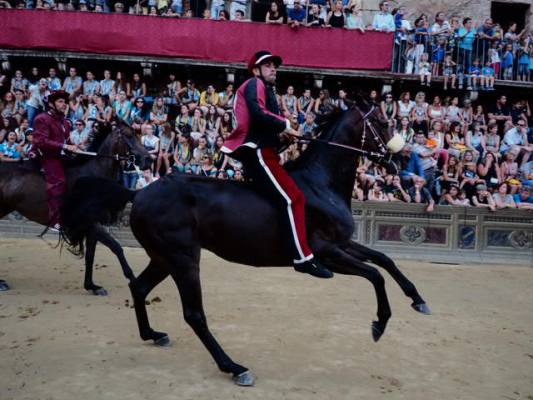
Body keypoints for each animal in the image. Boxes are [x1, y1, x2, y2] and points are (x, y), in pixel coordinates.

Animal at [0, 120, 152, 296]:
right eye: (128, 135)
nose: (148, 159)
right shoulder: (91, 224)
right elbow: (116, 247)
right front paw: (133, 279)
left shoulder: (92, 227)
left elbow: (90, 256)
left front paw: (92, 286)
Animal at [62, 104, 430, 386]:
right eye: (381, 121)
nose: (399, 162)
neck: (320, 183)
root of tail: (137, 192)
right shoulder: (327, 254)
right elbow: (375, 275)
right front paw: (380, 323)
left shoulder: (344, 244)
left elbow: (385, 261)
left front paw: (418, 300)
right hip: (183, 259)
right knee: (194, 314)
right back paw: (234, 367)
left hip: (163, 258)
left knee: (138, 288)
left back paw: (152, 334)